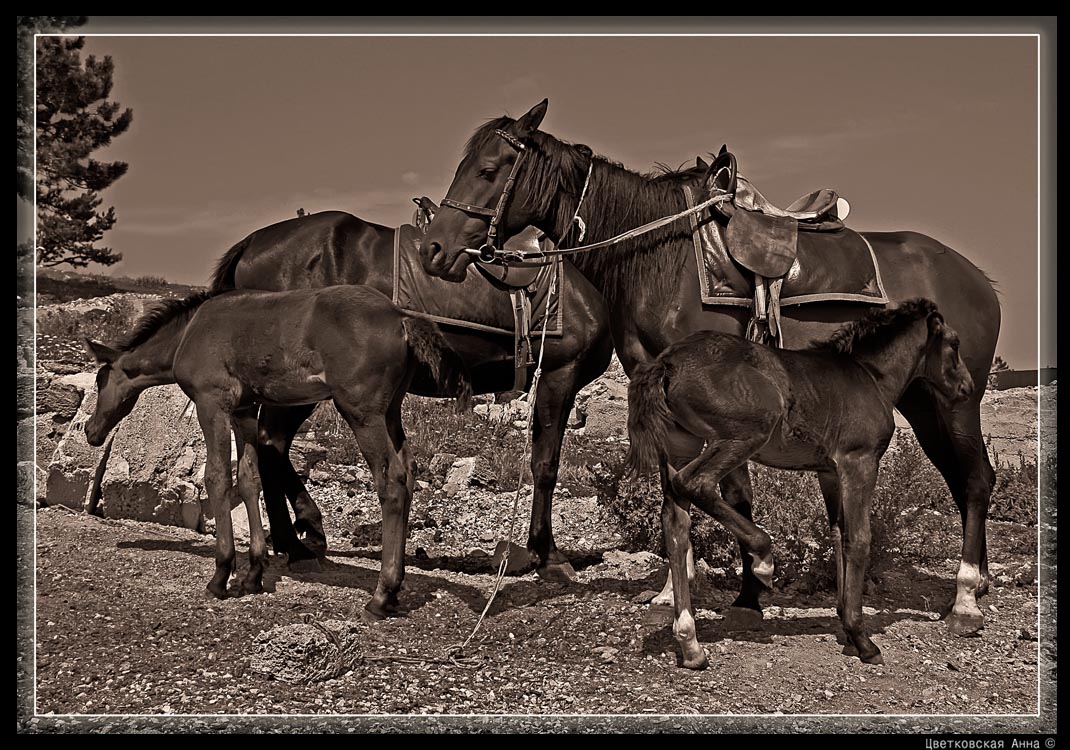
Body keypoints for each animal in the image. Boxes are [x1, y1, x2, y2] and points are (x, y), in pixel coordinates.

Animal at [83, 284, 468, 616]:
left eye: (100, 379)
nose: (91, 431)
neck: (188, 333)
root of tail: (401, 318)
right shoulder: (244, 411)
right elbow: (248, 479)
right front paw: (253, 573)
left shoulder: (212, 403)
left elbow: (217, 477)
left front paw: (221, 574)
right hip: (391, 412)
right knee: (410, 471)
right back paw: (395, 589)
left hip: (361, 412)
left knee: (392, 482)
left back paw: (382, 595)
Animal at [207, 200, 612, 577]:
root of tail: (252, 243)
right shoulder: (559, 378)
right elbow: (545, 466)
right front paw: (549, 554)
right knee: (271, 443)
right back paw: (296, 539)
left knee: (269, 445)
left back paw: (298, 536)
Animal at [624, 299, 975, 667]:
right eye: (954, 344)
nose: (966, 388)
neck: (871, 375)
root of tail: (668, 361)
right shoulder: (860, 461)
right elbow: (859, 540)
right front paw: (862, 639)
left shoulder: (830, 472)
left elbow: (838, 533)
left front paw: (846, 626)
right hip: (744, 435)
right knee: (696, 483)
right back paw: (762, 560)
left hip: (681, 444)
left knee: (675, 525)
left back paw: (690, 644)